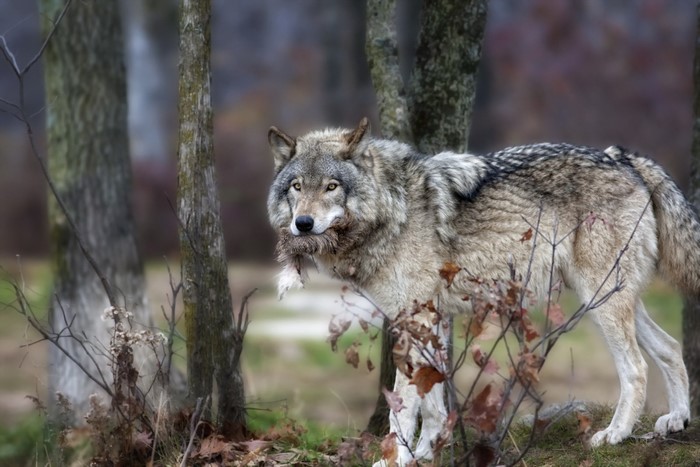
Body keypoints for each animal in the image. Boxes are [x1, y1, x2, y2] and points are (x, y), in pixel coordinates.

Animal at [266, 118, 698, 465]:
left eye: (331, 187)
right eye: (297, 187)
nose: (303, 224)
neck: (393, 209)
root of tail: (623, 157)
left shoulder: (415, 316)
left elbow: (403, 406)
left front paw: (396, 459)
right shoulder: (431, 318)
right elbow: (433, 402)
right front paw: (427, 453)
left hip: (600, 300)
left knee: (636, 367)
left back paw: (615, 435)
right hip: (610, 299)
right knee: (670, 347)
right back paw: (677, 420)